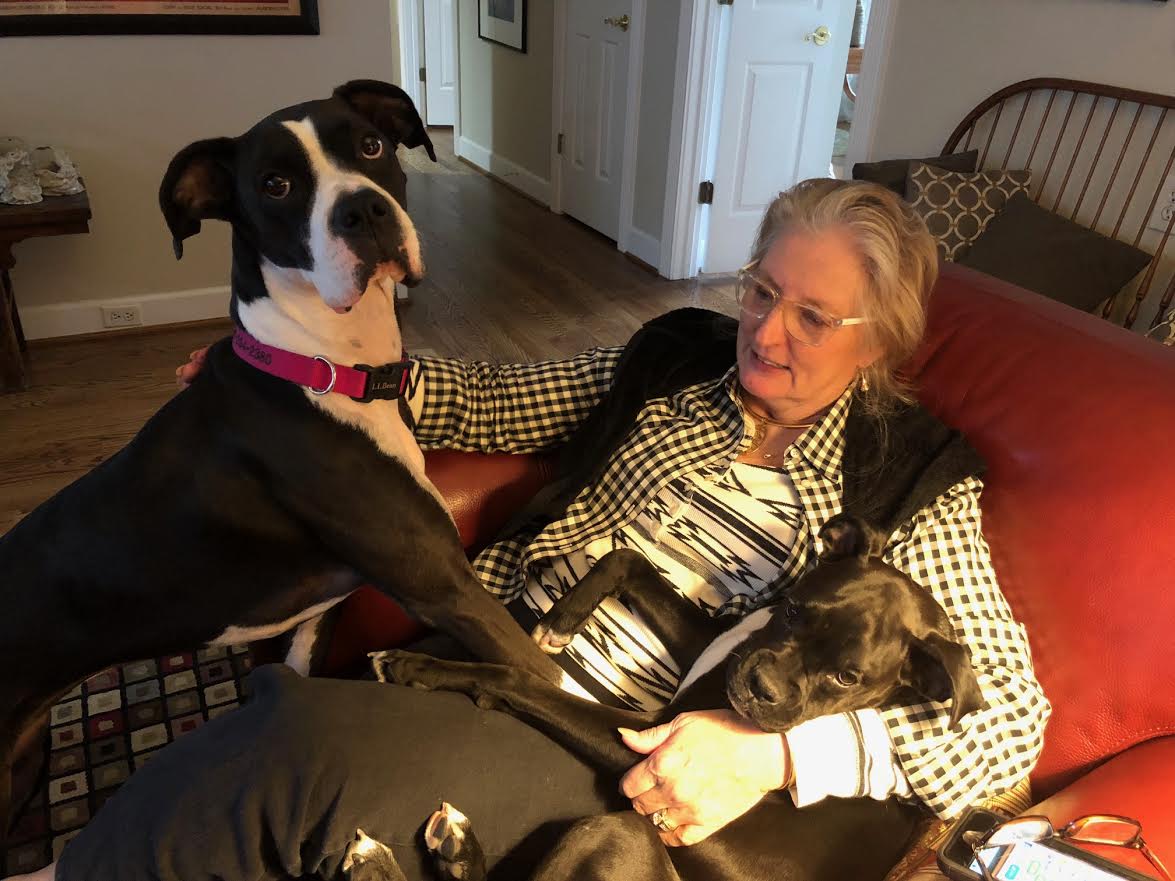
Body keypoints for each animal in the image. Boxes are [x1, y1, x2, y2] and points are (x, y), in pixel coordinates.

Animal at [0, 79, 559, 831]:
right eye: (275, 184)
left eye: (371, 146)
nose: (363, 210)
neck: (324, 366)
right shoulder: (446, 586)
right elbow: (543, 673)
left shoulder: (314, 623)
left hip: (22, 760)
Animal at [364, 516, 982, 881]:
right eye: (793, 611)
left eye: (849, 677)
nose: (759, 690)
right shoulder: (716, 650)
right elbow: (627, 559)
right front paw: (562, 620)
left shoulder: (653, 742)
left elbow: (523, 681)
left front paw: (421, 667)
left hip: (618, 830)